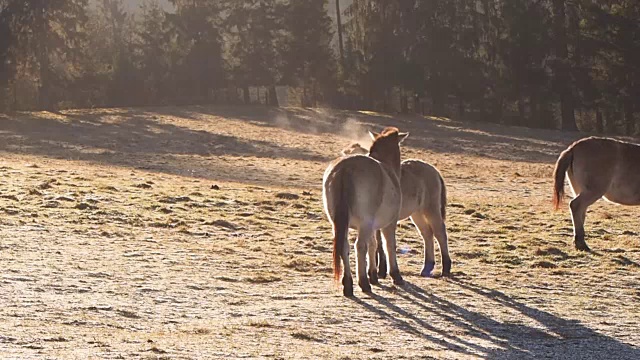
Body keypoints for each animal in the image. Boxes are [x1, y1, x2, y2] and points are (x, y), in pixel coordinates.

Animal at [322, 128, 408, 296]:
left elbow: (373, 244)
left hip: (338, 223)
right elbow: (389, 245)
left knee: (344, 247)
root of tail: (345, 168)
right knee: (359, 246)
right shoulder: (389, 224)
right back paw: (363, 283)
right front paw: (395, 274)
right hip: (365, 223)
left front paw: (373, 274)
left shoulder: (372, 226)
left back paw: (348, 284)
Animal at [340, 142, 450, 278]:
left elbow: (379, 242)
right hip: (417, 213)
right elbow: (377, 242)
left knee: (440, 232)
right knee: (427, 233)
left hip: (431, 208)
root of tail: (434, 170)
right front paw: (379, 269)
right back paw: (427, 267)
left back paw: (446, 268)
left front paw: (380, 270)